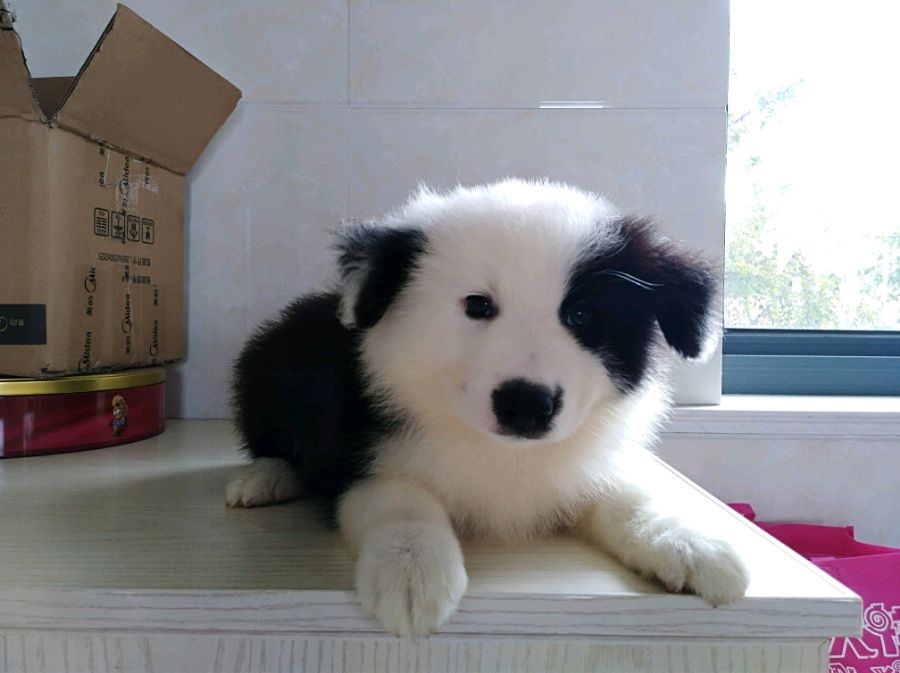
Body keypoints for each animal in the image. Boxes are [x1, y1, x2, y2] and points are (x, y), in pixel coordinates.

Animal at [227, 179, 749, 636]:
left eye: (581, 315)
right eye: (477, 305)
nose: (527, 404)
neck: (501, 450)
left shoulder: (581, 464)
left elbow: (629, 497)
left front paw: (691, 542)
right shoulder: (352, 448)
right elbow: (400, 497)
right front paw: (411, 571)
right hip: (266, 369)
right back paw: (266, 478)